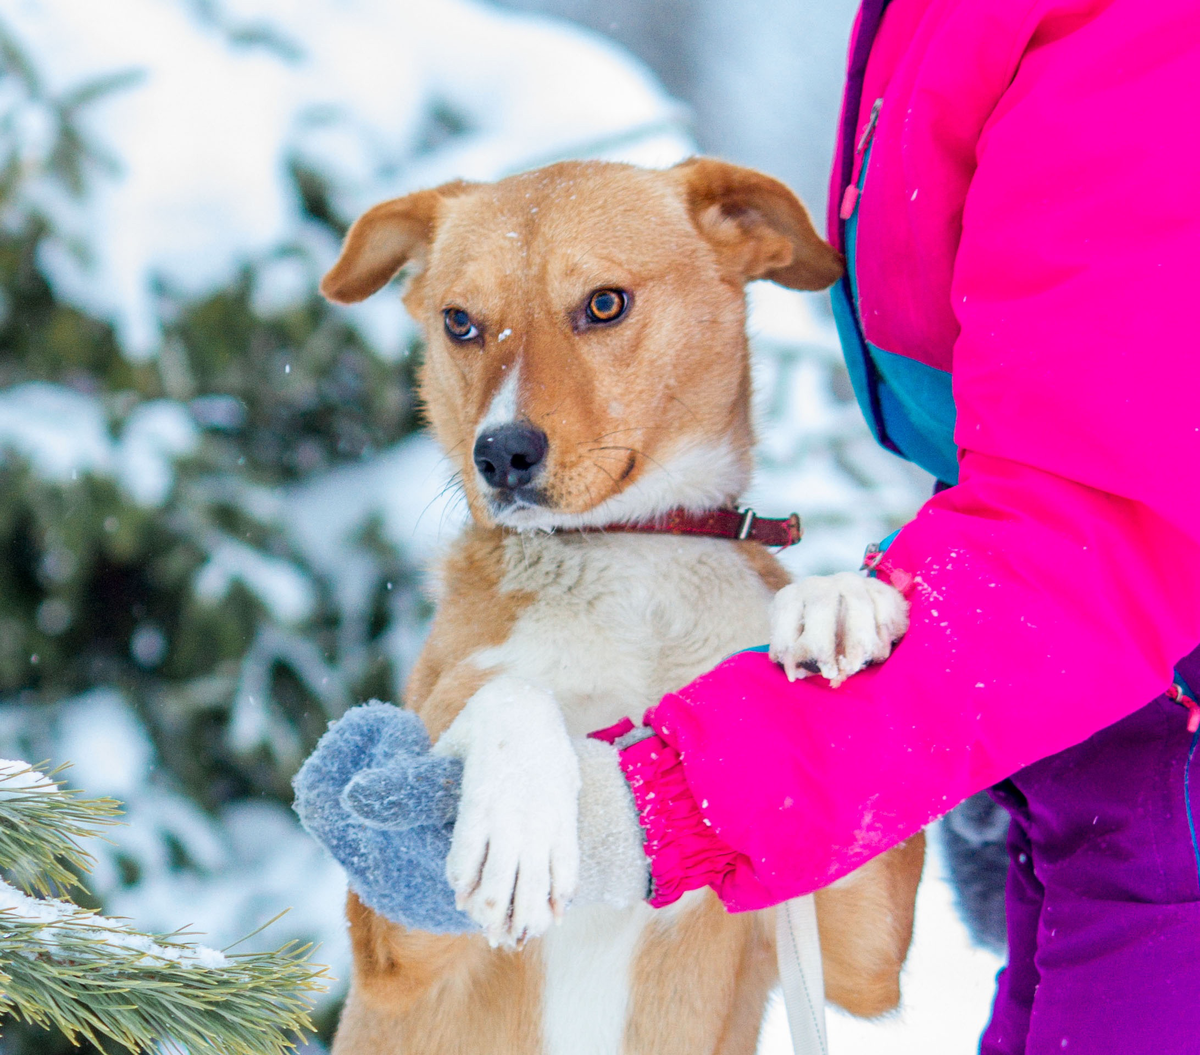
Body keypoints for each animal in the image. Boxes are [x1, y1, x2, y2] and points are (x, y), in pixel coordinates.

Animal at [316, 158, 916, 1055]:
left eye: (604, 303)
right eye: (460, 321)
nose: (500, 453)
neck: (632, 561)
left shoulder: (860, 955)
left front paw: (836, 593)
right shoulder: (392, 934)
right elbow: (511, 693)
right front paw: (519, 825)